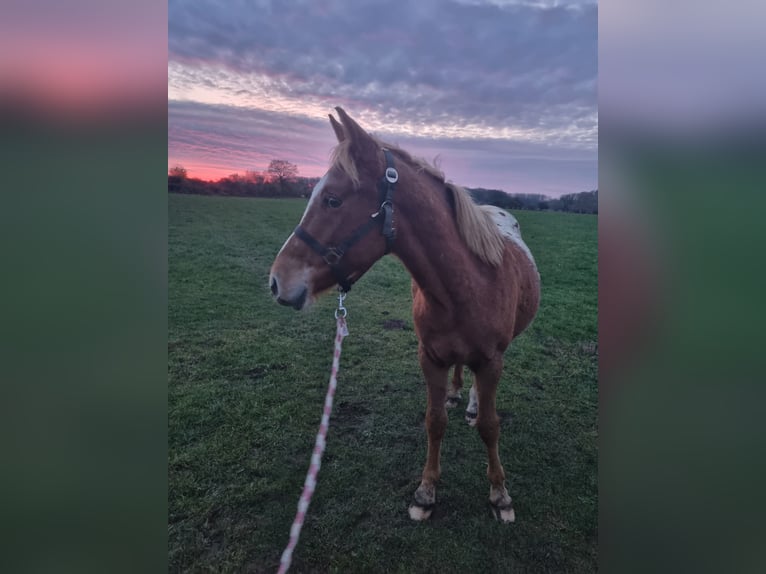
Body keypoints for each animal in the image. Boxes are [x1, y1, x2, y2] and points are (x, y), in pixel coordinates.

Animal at [269, 107, 540, 522]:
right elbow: (434, 422)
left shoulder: (492, 361)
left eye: (332, 200)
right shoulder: (429, 358)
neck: (469, 285)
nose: (277, 281)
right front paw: (426, 492)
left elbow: (490, 427)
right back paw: (456, 394)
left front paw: (499, 493)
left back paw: (471, 403)